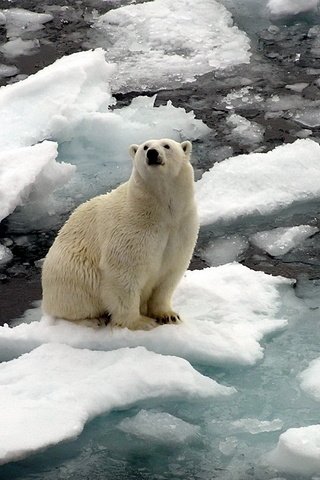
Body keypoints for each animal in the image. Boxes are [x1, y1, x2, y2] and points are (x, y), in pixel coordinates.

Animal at [41, 137, 199, 328]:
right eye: (145, 147)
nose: (152, 153)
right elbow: (123, 274)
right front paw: (140, 322)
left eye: (167, 145)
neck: (160, 212)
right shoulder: (132, 229)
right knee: (75, 299)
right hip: (70, 273)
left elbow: (169, 274)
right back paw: (93, 319)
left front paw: (168, 315)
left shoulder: (181, 228)